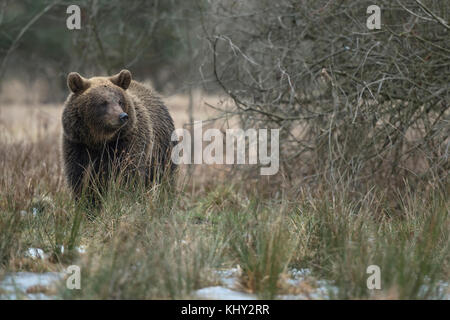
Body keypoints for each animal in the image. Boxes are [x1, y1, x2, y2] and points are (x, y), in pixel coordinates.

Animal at [61, 69, 176, 202]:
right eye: (103, 102)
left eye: (120, 101)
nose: (123, 116)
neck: (99, 140)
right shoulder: (78, 145)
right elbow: (81, 179)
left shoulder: (126, 143)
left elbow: (127, 175)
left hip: (162, 152)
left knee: (163, 179)